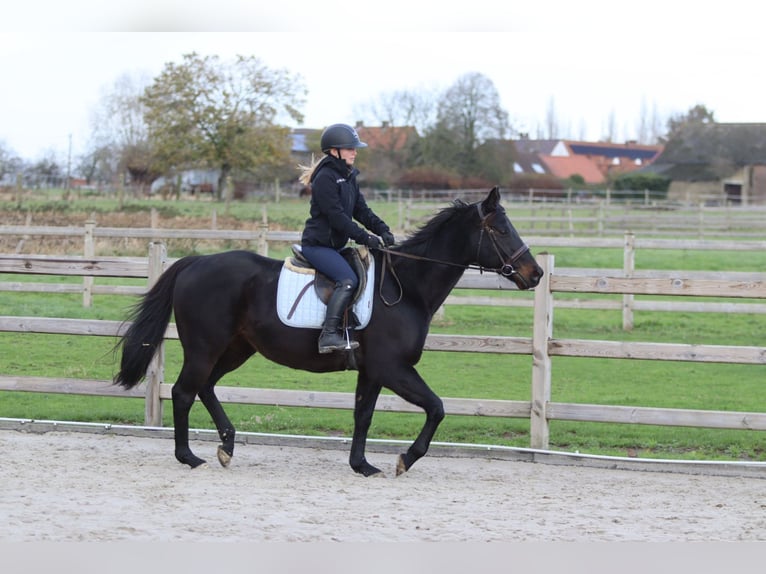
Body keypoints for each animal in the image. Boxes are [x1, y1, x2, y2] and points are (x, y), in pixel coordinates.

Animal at [113, 187, 543, 476]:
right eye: (500, 229)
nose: (535, 273)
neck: (407, 287)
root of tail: (195, 262)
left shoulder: (372, 371)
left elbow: (363, 415)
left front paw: (362, 464)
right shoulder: (393, 368)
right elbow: (436, 407)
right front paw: (405, 458)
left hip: (235, 349)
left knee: (205, 387)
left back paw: (227, 446)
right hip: (206, 347)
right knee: (184, 392)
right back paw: (190, 457)